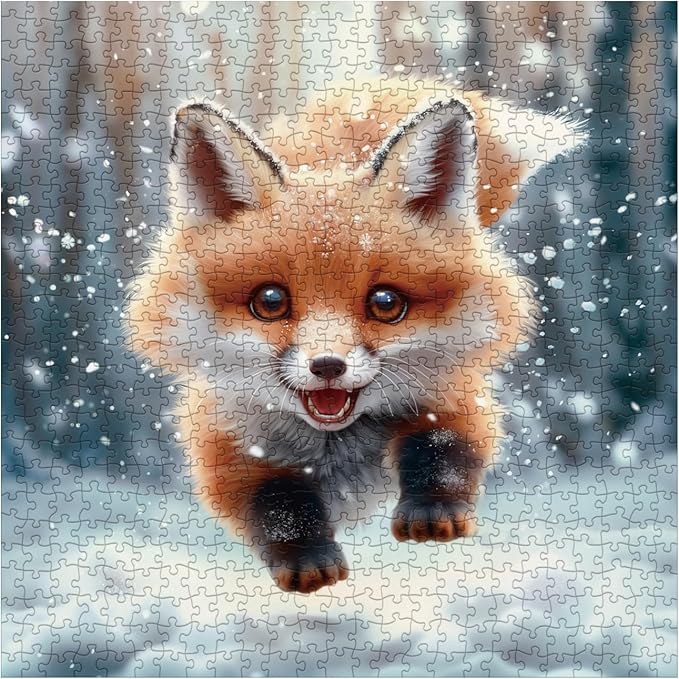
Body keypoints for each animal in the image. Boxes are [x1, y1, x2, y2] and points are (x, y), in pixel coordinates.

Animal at [126, 79, 585, 593]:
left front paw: (433, 511)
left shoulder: (455, 389)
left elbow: (443, 447)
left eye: (386, 303)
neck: (334, 450)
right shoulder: (223, 441)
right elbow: (277, 503)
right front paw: (306, 560)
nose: (328, 365)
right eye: (270, 301)